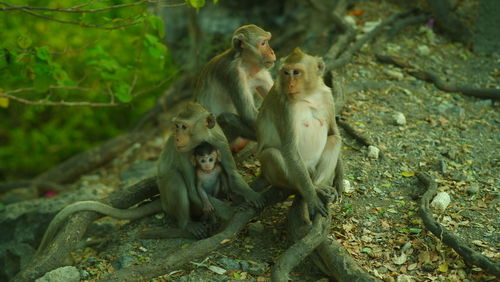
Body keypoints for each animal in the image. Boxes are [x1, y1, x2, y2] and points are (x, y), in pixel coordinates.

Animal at [35, 102, 264, 253]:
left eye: (184, 126)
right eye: (177, 126)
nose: (176, 137)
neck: (202, 140)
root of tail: (163, 202)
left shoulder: (219, 140)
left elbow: (231, 173)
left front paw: (248, 196)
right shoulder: (183, 153)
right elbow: (192, 189)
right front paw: (230, 211)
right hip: (171, 199)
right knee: (175, 179)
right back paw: (187, 224)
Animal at [193, 24, 276, 152]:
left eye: (267, 41)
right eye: (263, 43)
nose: (272, 52)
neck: (245, 64)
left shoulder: (261, 71)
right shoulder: (233, 74)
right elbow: (248, 114)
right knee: (226, 118)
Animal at [256, 48, 346, 220]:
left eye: (296, 72)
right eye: (286, 72)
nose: (290, 84)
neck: (309, 95)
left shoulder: (327, 96)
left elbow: (333, 132)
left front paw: (339, 178)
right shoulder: (284, 106)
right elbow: (290, 148)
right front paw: (312, 198)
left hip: (312, 170)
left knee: (334, 140)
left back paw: (319, 185)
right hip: (291, 174)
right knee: (271, 154)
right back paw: (310, 190)